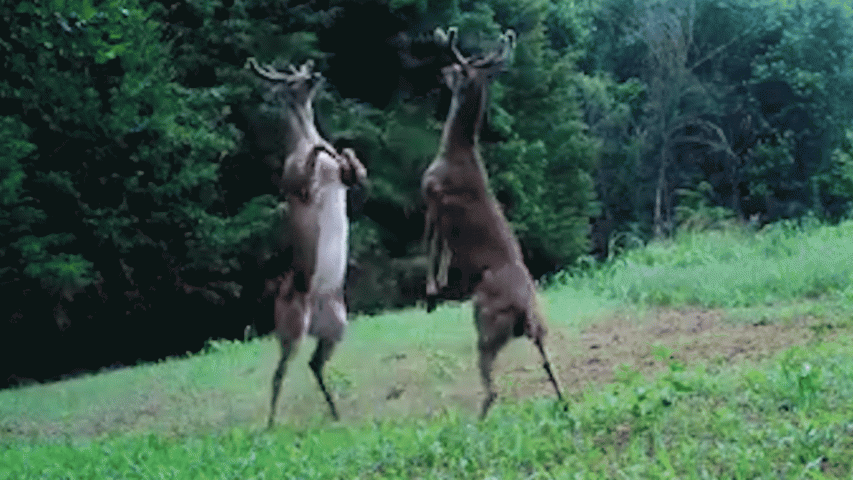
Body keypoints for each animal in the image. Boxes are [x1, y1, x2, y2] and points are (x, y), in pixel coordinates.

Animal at [247, 58, 367, 427]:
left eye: (302, 72)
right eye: (292, 81)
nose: (316, 75)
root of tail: (315, 319)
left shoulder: (350, 178)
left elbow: (352, 162)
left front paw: (339, 150)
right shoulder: (294, 182)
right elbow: (311, 160)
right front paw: (324, 148)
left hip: (337, 325)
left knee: (314, 364)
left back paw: (336, 413)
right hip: (291, 326)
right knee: (279, 372)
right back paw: (271, 423)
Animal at [420, 28, 563, 418]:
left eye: (459, 67)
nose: (442, 70)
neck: (455, 151)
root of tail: (525, 312)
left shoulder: (432, 195)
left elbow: (431, 244)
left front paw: (432, 289)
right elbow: (442, 248)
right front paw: (438, 285)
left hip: (486, 320)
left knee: (493, 387)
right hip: (538, 328)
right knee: (548, 363)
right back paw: (565, 405)